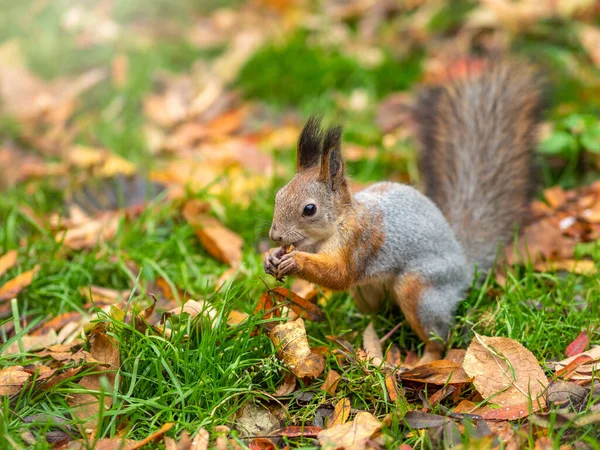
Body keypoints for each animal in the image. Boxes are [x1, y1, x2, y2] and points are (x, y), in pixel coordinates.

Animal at [262, 59, 544, 362]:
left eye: (309, 209)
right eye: (278, 195)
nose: (275, 235)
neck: (336, 225)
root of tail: (464, 266)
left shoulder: (359, 241)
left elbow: (340, 274)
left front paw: (294, 261)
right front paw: (271, 256)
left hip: (420, 288)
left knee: (439, 336)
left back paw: (424, 361)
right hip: (367, 291)